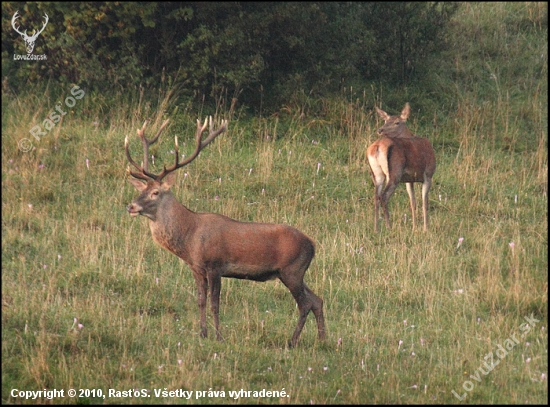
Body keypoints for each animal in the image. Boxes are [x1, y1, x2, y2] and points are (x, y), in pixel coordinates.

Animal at [124, 117, 328, 348]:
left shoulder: (215, 265)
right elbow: (201, 300)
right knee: (317, 299)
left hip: (291, 270)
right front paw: (202, 333)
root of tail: (312, 244)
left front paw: (219, 336)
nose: (131, 206)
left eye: (155, 192)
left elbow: (215, 303)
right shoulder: (196, 268)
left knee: (304, 303)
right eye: (141, 190)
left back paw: (292, 342)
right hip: (296, 273)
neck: (190, 239)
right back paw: (322, 339)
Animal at [368, 103, 438, 233]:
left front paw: (414, 228)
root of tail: (377, 147)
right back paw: (389, 227)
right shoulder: (428, 175)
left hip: (377, 174)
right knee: (384, 196)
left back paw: (376, 229)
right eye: (385, 120)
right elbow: (424, 202)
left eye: (397, 122)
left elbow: (413, 202)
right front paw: (426, 229)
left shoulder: (409, 180)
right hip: (394, 173)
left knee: (376, 197)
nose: (380, 130)